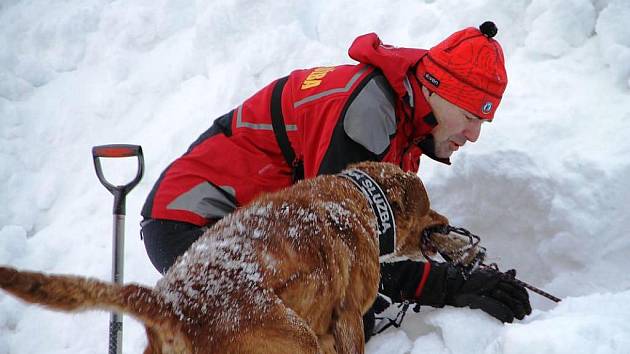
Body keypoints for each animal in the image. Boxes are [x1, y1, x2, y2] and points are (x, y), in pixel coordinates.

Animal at [0, 162, 450, 352]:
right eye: (429, 206)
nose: (446, 221)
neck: (359, 200)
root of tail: (168, 303)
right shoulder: (349, 318)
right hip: (292, 338)